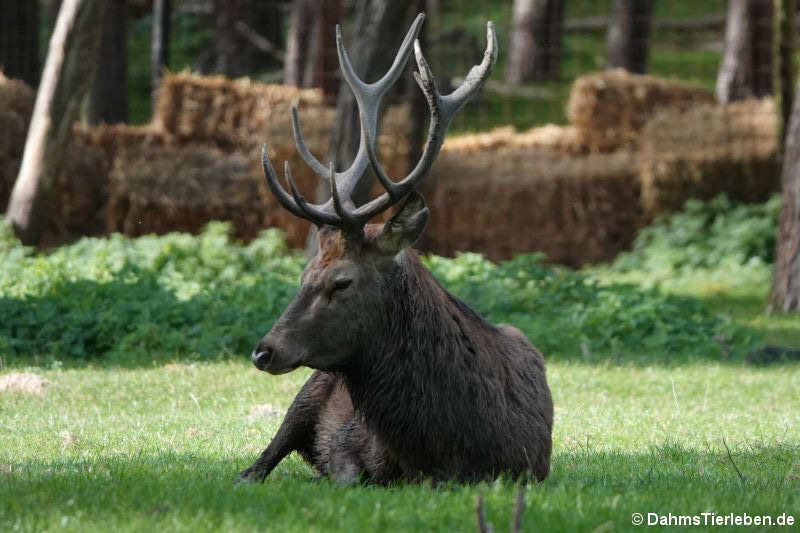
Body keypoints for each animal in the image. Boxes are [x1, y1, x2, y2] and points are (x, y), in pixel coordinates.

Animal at [236, 13, 552, 486]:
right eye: (303, 276)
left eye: (342, 282)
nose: (264, 350)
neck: (437, 446)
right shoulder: (346, 443)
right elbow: (346, 474)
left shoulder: (528, 468)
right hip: (307, 393)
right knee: (257, 465)